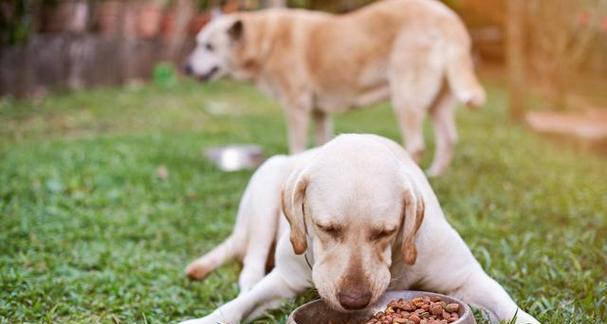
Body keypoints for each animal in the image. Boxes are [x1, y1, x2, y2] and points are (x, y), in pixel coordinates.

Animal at [178, 134, 540, 324]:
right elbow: (240, 306)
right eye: (325, 228)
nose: (354, 301)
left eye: (386, 232)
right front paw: (206, 319)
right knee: (250, 266)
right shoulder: (284, 279)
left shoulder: (466, 277)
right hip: (266, 187)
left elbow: (507, 305)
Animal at [183, 0, 486, 176]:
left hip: (405, 97)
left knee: (416, 145)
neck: (266, 39)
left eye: (208, 47)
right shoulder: (319, 111)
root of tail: (448, 17)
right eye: (198, 43)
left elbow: (296, 145)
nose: (186, 69)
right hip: (437, 101)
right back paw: (435, 175)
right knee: (449, 139)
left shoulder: (296, 106)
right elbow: (321, 143)